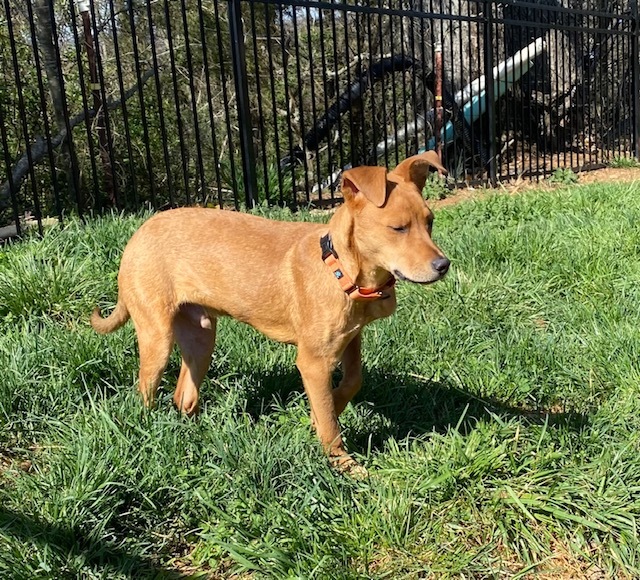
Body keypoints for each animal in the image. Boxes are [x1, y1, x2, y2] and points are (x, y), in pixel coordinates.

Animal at [91, 151, 450, 472]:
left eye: (430, 222)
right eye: (398, 228)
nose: (443, 265)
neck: (340, 270)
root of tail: (137, 235)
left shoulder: (350, 340)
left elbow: (351, 382)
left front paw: (321, 412)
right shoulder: (313, 362)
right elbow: (331, 424)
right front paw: (344, 465)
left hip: (200, 336)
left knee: (184, 396)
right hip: (157, 337)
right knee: (145, 392)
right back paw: (150, 433)